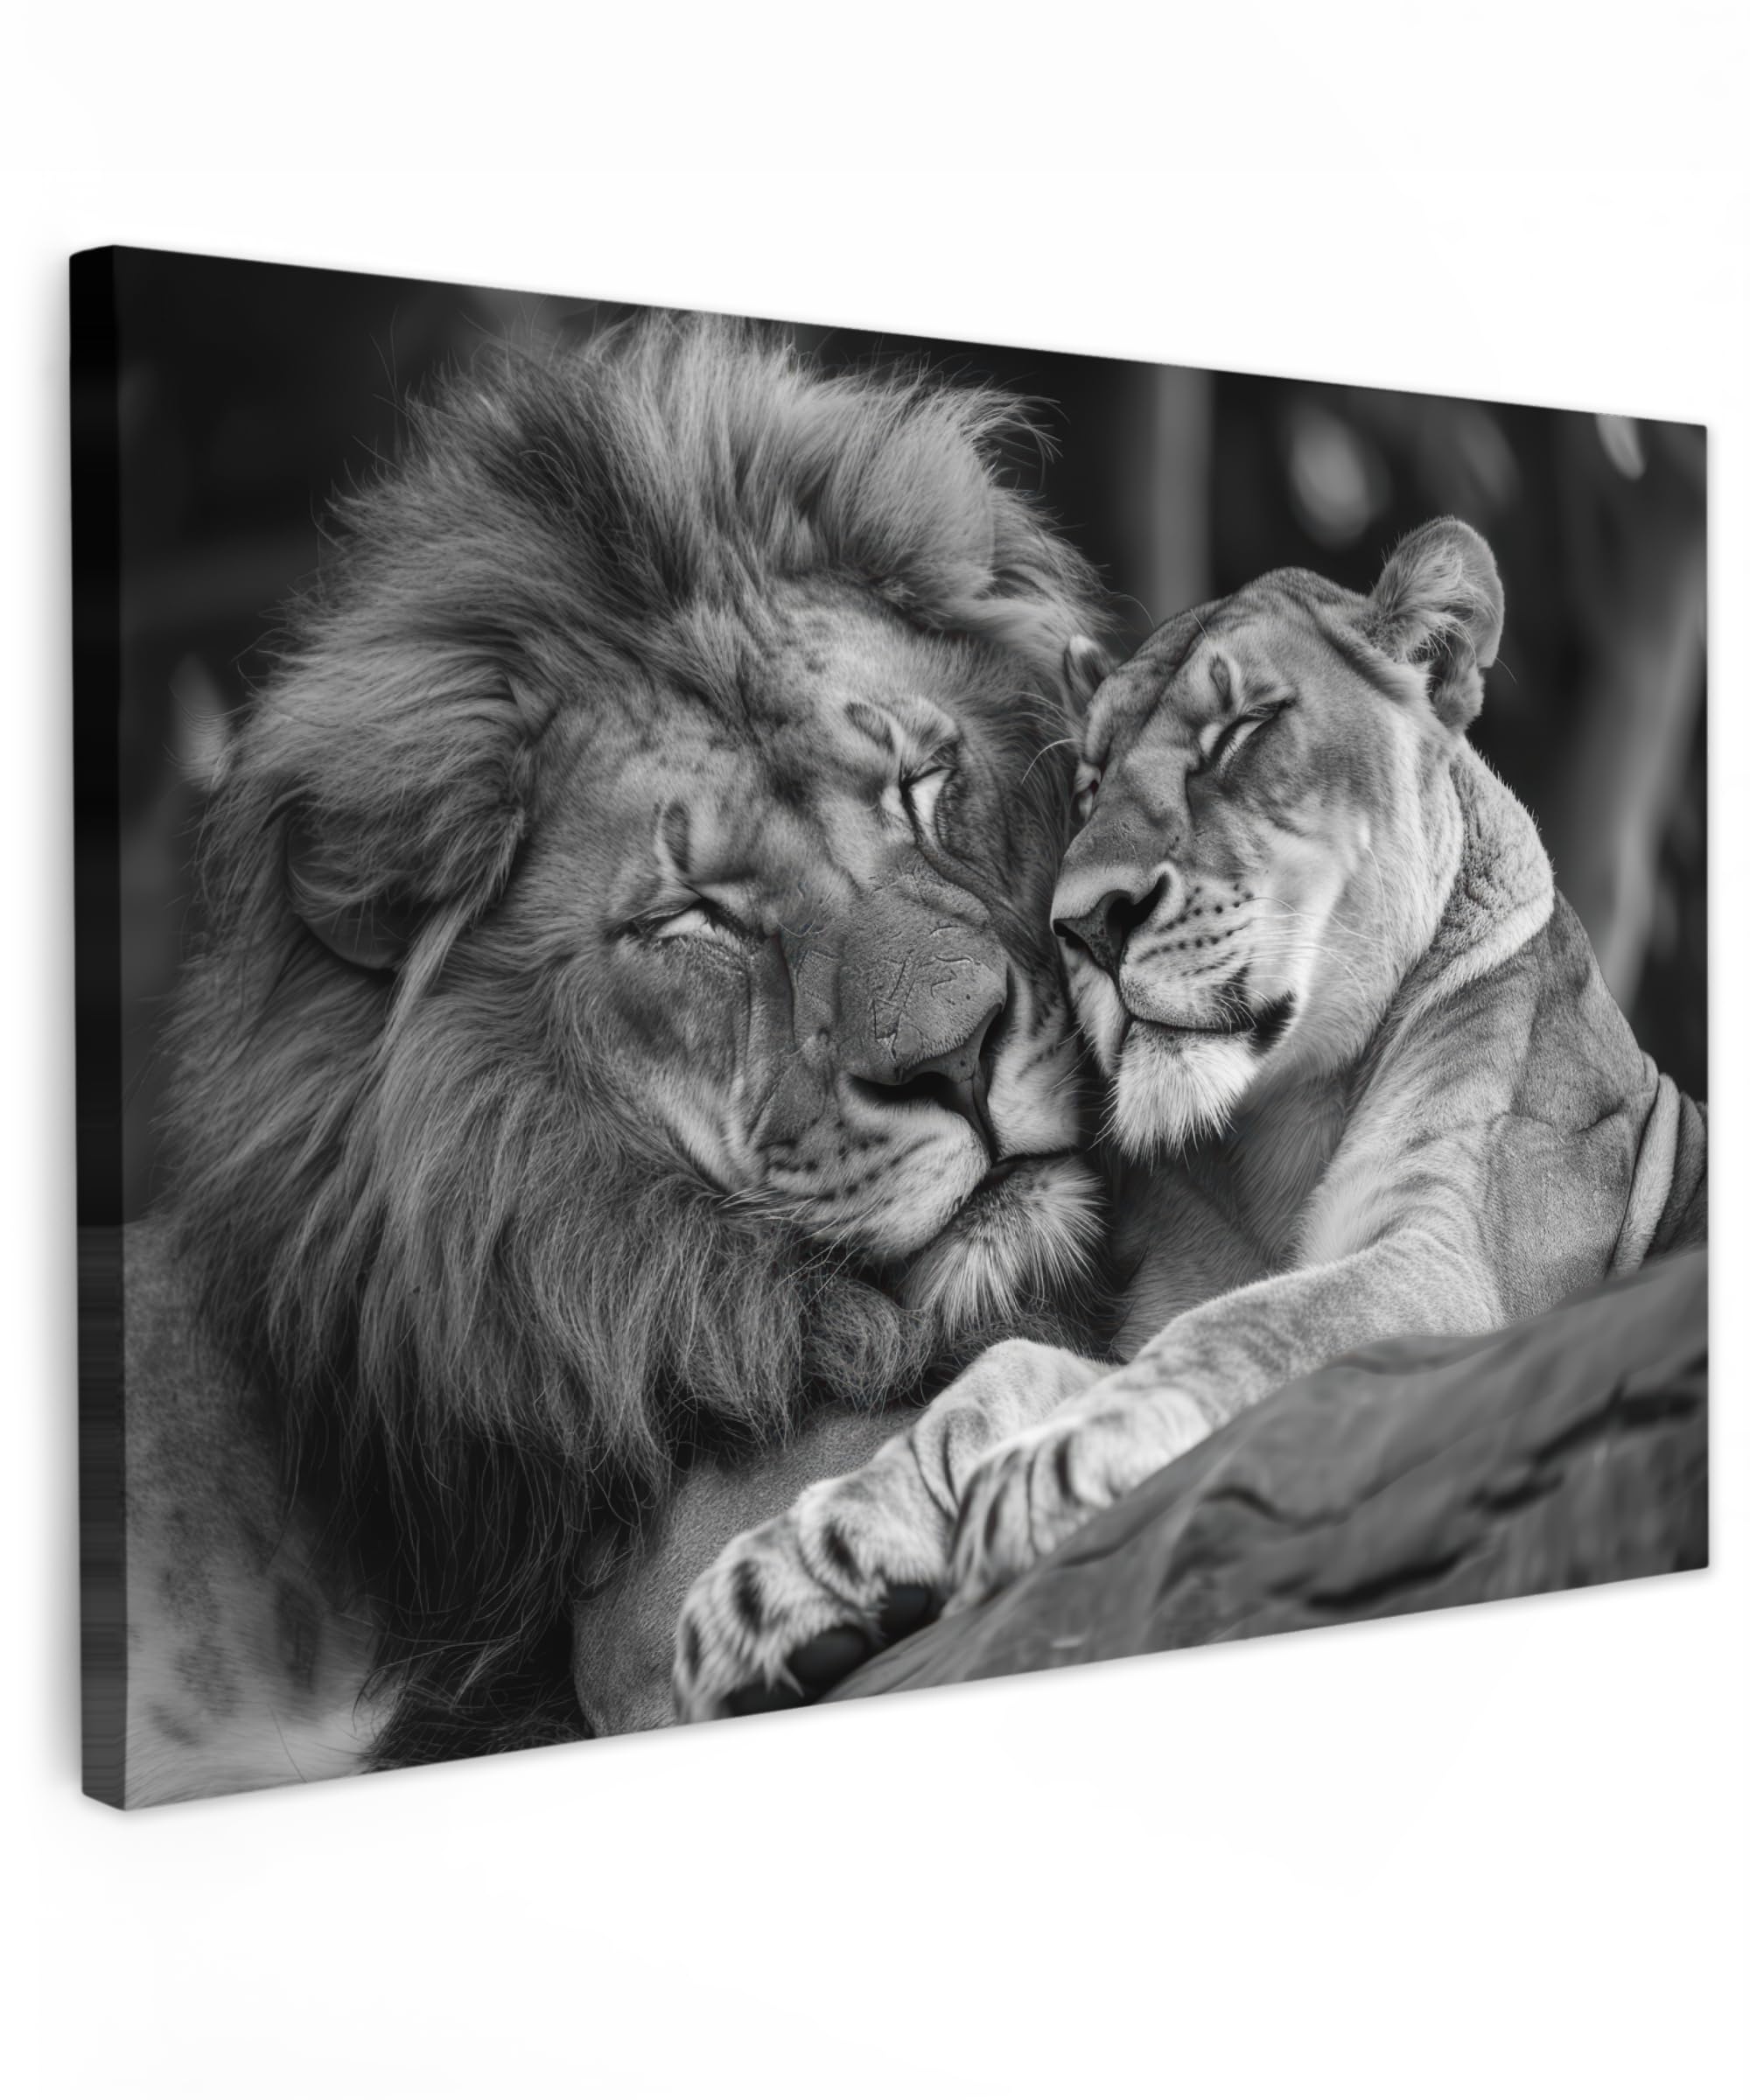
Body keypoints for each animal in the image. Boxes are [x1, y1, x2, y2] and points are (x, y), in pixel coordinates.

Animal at [673, 516, 1708, 1720]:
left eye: (1243, 729)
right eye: (1085, 784)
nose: (1085, 925)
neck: (1273, 1137)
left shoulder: (1453, 1278)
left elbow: (1253, 1324)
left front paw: (1057, 1465)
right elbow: (998, 1376)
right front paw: (795, 1561)